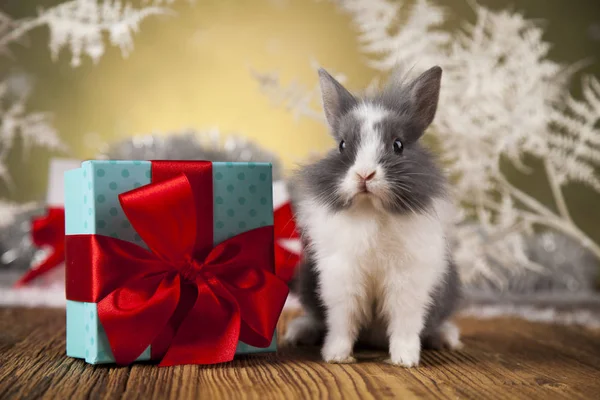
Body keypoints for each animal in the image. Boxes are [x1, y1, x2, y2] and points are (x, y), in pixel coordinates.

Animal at [284, 66, 462, 368]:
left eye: (398, 145)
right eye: (342, 145)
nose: (364, 174)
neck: (372, 211)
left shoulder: (408, 280)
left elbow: (405, 322)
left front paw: (405, 359)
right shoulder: (342, 277)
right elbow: (342, 320)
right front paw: (336, 356)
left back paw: (445, 338)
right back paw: (298, 332)